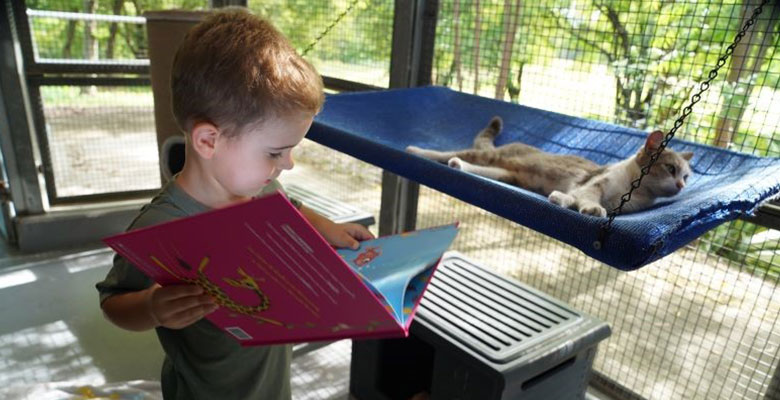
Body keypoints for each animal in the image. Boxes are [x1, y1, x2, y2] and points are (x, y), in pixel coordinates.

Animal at [406, 115, 692, 217]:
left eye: (687, 176)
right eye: (670, 168)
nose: (680, 185)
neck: (636, 190)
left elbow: (572, 198)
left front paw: (560, 199)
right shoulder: (594, 185)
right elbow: (586, 196)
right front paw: (589, 208)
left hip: (504, 174)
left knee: (469, 165)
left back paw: (457, 165)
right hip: (491, 158)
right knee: (447, 153)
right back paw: (416, 150)